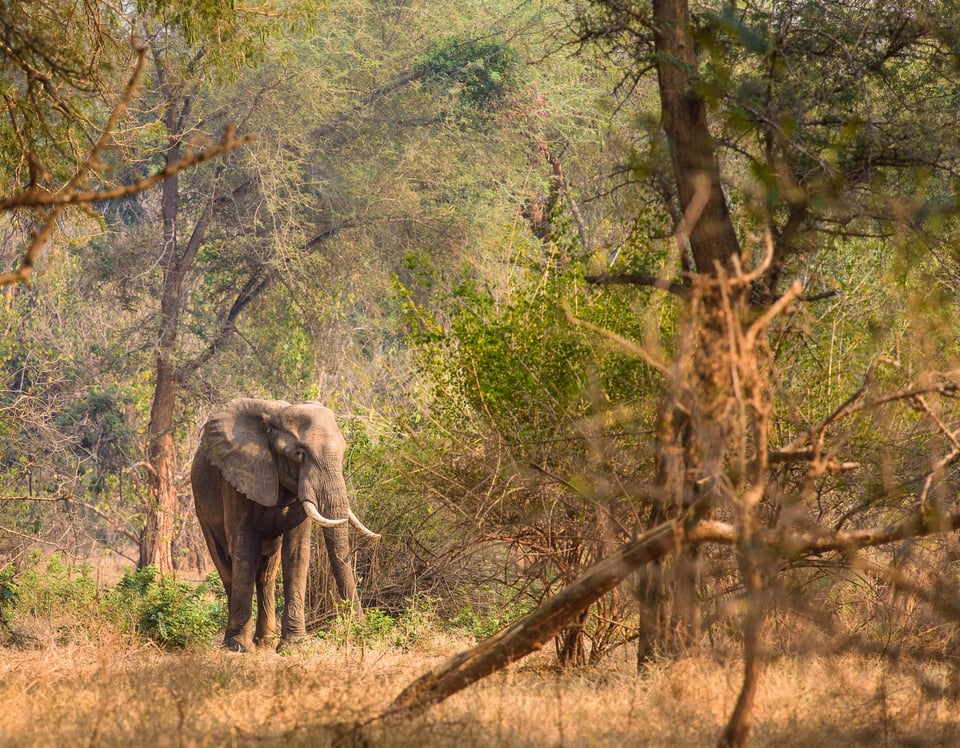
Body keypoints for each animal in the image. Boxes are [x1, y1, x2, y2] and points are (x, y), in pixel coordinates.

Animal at [190, 400, 378, 652]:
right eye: (299, 454)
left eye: (343, 451)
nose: (360, 630)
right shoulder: (236, 477)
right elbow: (243, 547)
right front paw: (239, 647)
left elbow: (297, 552)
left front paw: (294, 646)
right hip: (201, 509)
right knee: (227, 566)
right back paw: (238, 641)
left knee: (267, 573)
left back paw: (265, 641)